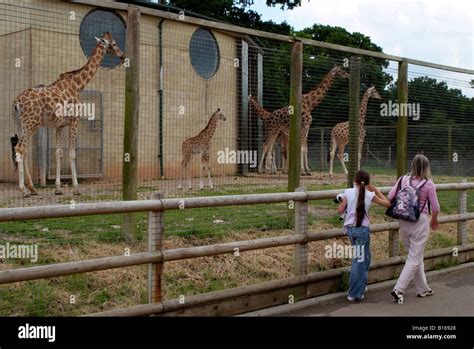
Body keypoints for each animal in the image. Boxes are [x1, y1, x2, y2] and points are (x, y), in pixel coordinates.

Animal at [12, 31, 125, 196]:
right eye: (114, 43)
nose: (122, 55)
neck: (77, 85)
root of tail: (17, 102)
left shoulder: (60, 125)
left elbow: (58, 153)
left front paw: (58, 188)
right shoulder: (74, 121)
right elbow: (72, 153)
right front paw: (76, 188)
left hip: (20, 124)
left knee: (23, 150)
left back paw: (32, 188)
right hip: (31, 123)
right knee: (20, 148)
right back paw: (24, 190)